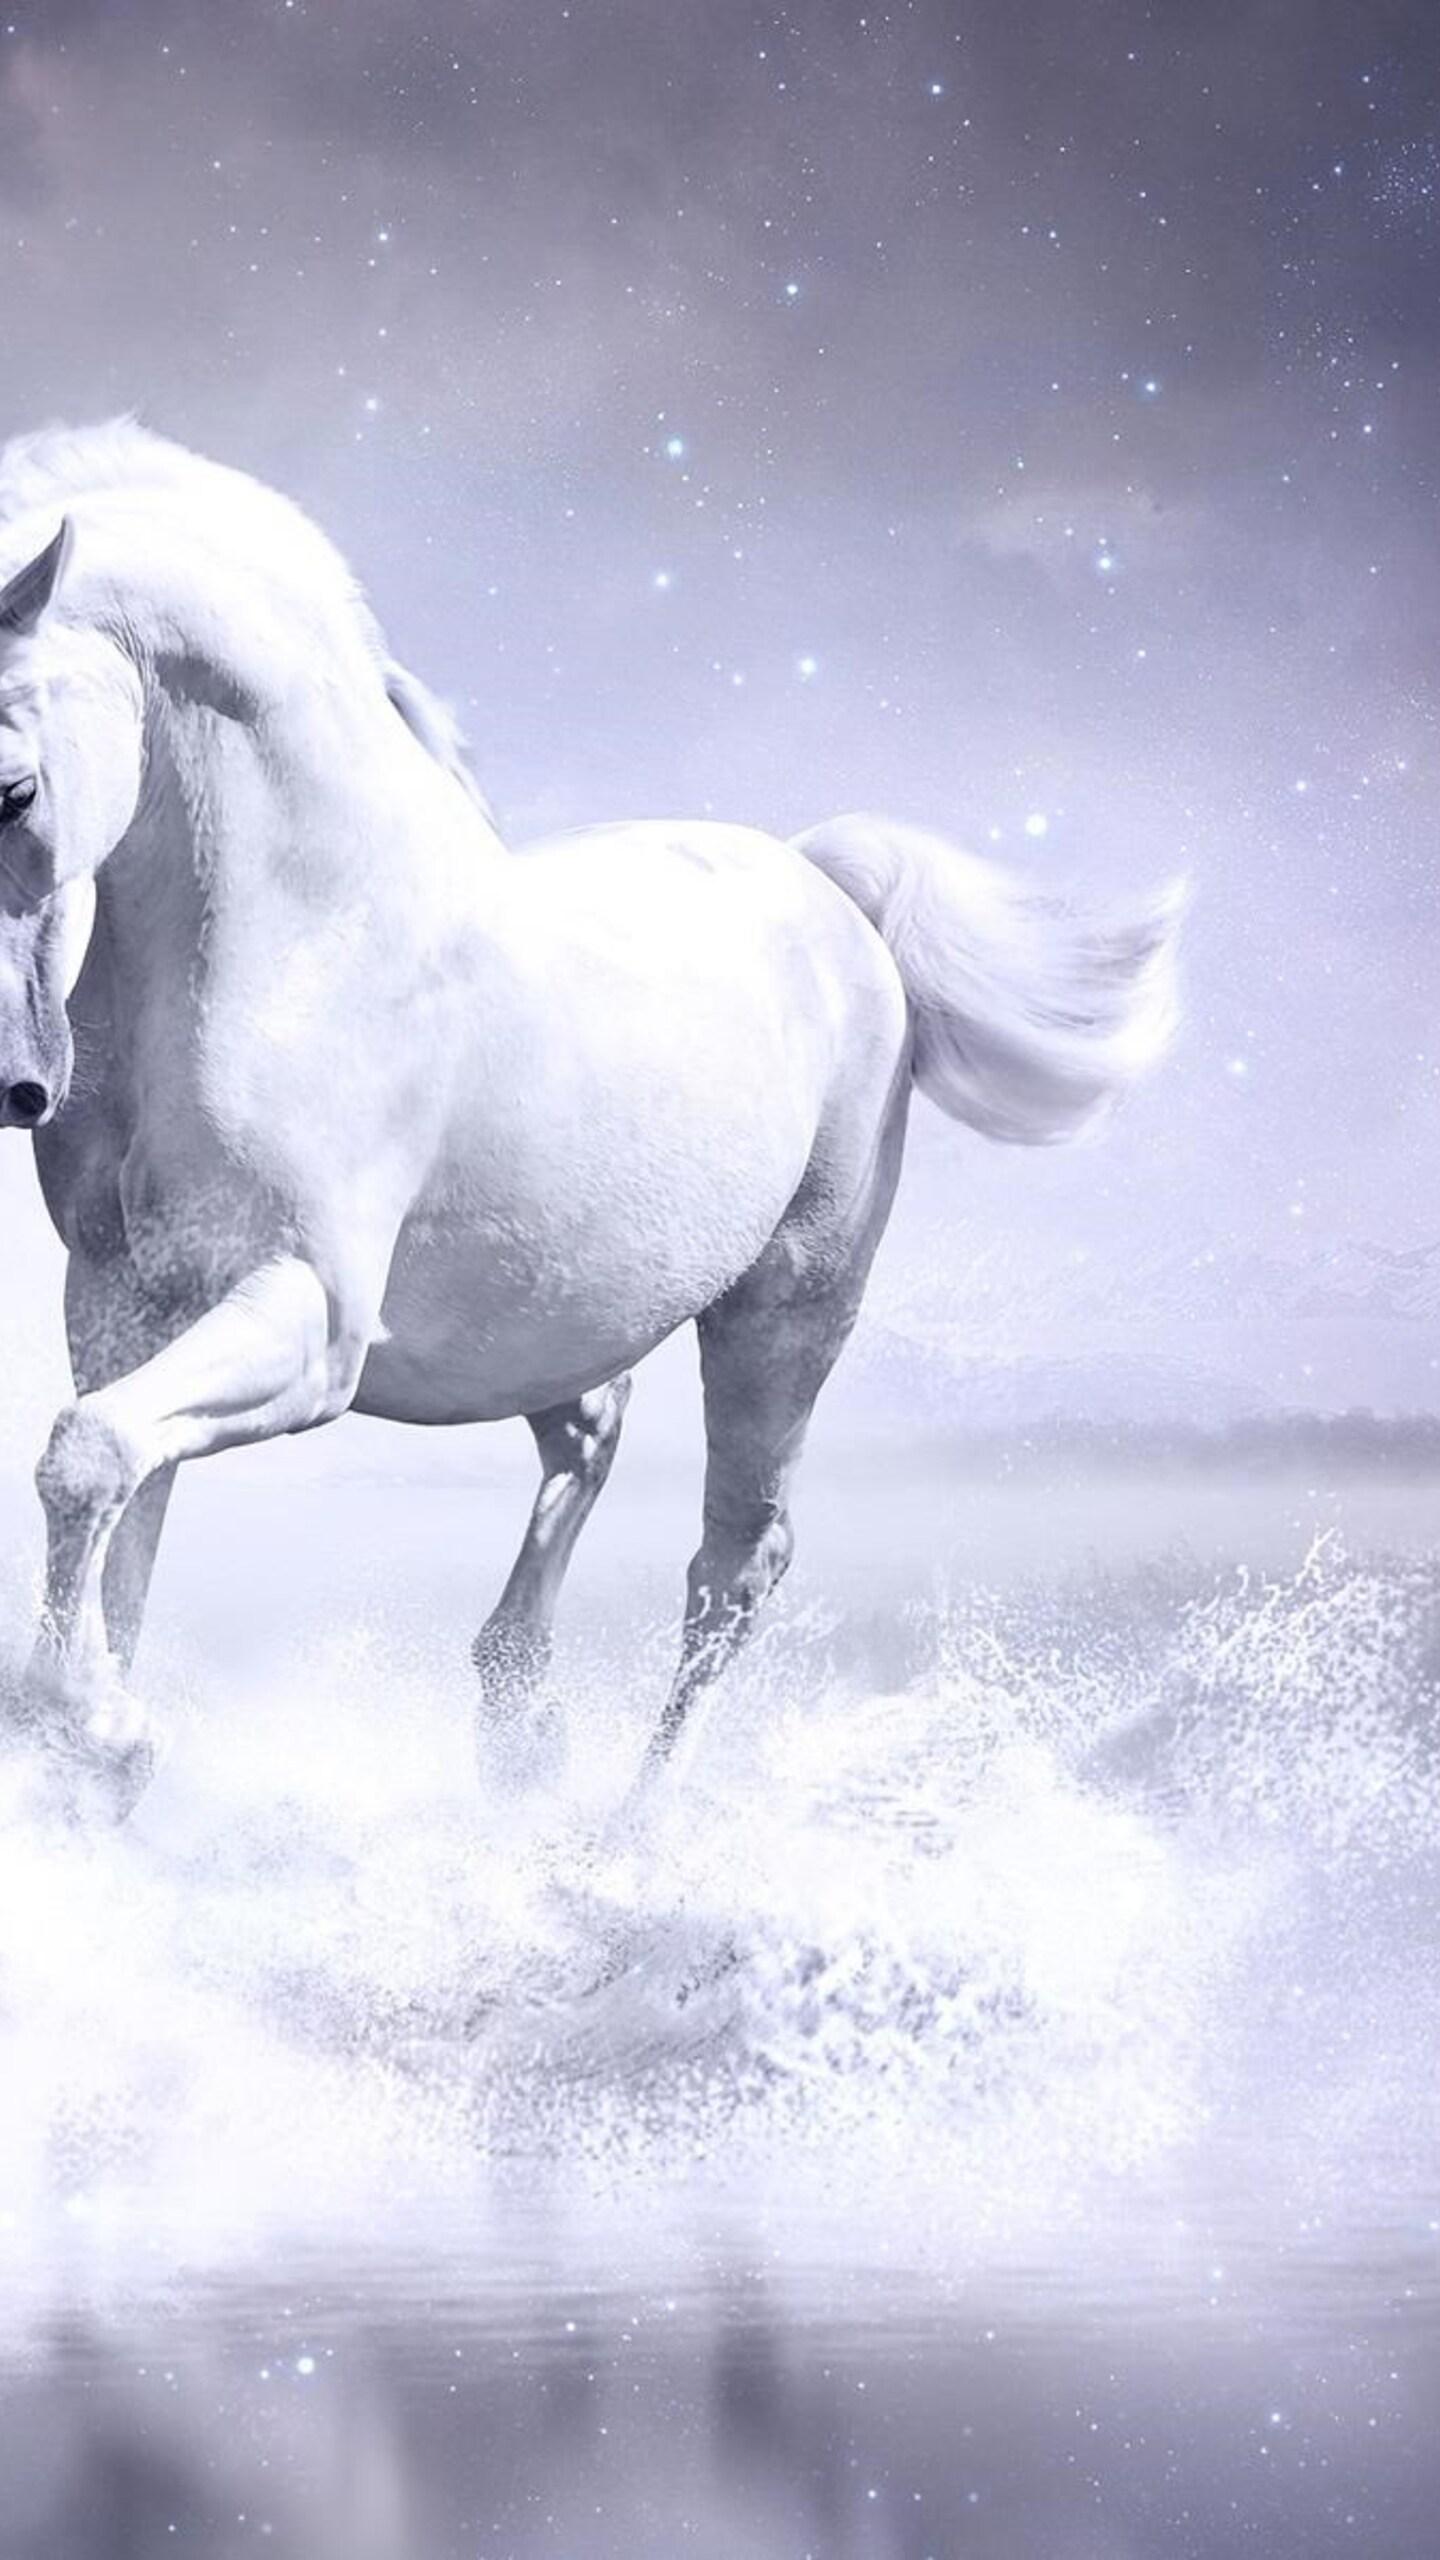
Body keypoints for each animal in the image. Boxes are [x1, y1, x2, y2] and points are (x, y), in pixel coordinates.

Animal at [0, 421, 1183, 1821]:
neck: (300, 936)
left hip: (786, 1313)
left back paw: (631, 1829)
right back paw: (521, 1729)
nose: (20, 1084)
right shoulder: (125, 1301)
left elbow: (88, 1461)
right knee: (593, 1434)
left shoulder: (308, 1317)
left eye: (11, 789)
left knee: (736, 1564)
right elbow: (125, 1506)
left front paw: (93, 1732)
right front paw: (102, 1754)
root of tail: (825, 887)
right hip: (546, 1312)